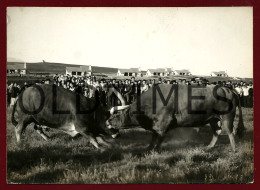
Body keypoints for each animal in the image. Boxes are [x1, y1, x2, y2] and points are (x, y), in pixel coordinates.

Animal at [106, 84, 245, 151]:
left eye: (116, 115)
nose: (107, 122)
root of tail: (229, 90)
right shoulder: (155, 125)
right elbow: (153, 137)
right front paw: (149, 148)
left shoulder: (163, 123)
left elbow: (159, 137)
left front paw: (155, 149)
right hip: (213, 119)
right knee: (217, 132)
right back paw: (209, 147)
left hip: (227, 117)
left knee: (230, 132)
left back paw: (234, 149)